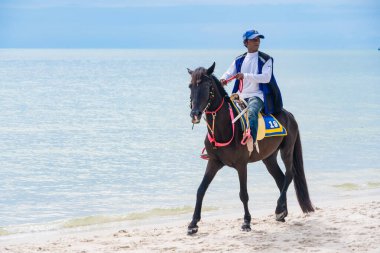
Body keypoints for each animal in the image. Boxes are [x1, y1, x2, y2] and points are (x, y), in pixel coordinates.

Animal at [187, 61, 314, 235]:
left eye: (206, 86)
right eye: (190, 86)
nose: (195, 114)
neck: (227, 127)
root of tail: (289, 115)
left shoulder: (242, 165)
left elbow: (243, 194)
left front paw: (246, 222)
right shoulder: (214, 162)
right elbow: (201, 190)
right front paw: (193, 223)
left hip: (286, 151)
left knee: (289, 175)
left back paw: (279, 209)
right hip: (269, 158)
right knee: (280, 179)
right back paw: (282, 211)